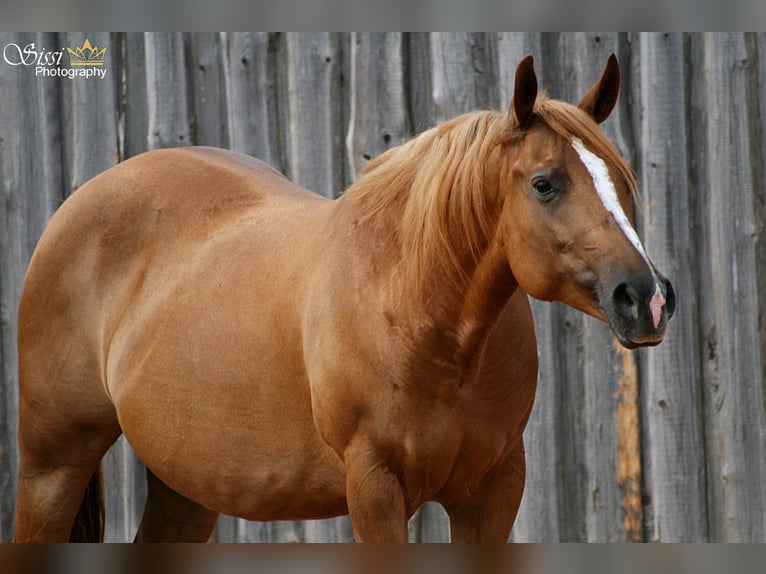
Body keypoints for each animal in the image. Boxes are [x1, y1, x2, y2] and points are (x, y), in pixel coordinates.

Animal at [13, 54, 674, 543]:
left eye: (622, 181)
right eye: (544, 184)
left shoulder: (494, 490)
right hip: (52, 467)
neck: (418, 314)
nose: (646, 298)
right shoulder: (375, 489)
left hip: (185, 485)